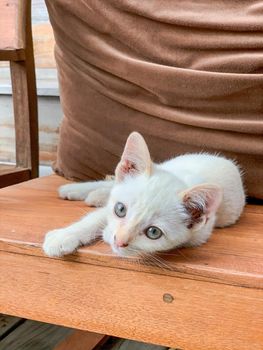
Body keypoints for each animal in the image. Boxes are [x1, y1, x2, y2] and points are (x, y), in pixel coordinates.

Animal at [42, 131, 246, 258]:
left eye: (153, 232)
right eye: (120, 209)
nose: (119, 241)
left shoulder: (200, 234)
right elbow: (94, 218)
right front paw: (63, 236)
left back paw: (94, 195)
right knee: (111, 183)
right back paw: (76, 190)